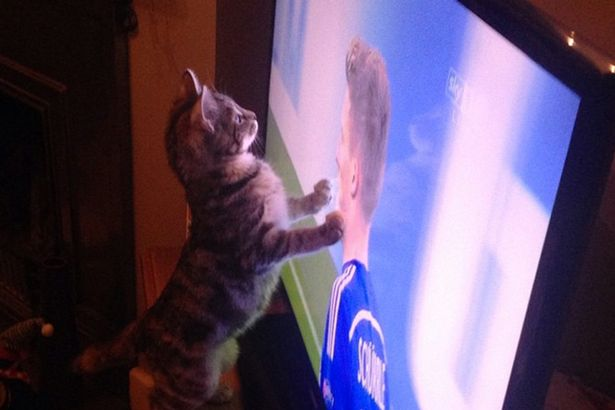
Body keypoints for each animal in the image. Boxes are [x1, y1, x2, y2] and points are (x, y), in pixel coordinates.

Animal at [74, 69, 344, 408]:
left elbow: (299, 204)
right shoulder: (261, 248)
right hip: (190, 384)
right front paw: (330, 231)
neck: (234, 176)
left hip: (228, 354)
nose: (254, 114)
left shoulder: (281, 211)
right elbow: (300, 240)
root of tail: (143, 325)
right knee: (158, 398)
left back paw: (224, 391)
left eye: (240, 108)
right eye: (238, 118)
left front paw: (322, 195)